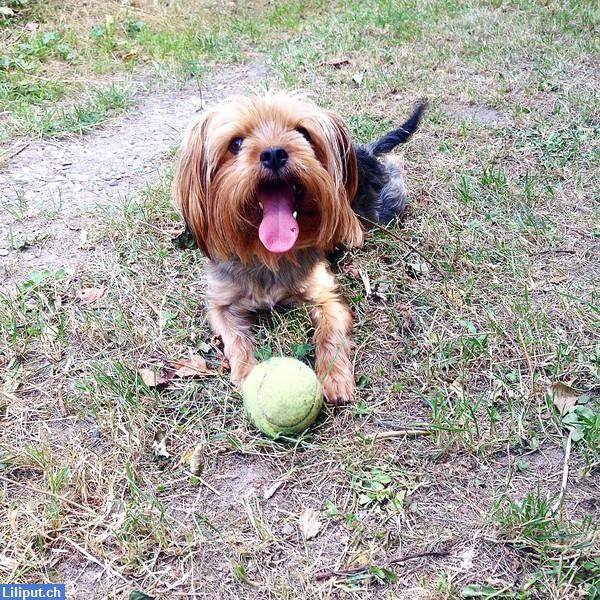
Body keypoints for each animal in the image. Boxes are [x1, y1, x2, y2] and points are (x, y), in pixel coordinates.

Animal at [173, 92, 426, 404]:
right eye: (236, 143)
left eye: (303, 133)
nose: (273, 153)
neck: (266, 253)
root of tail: (362, 151)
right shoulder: (221, 303)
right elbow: (234, 339)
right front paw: (246, 374)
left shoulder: (327, 297)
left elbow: (329, 334)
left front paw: (335, 379)